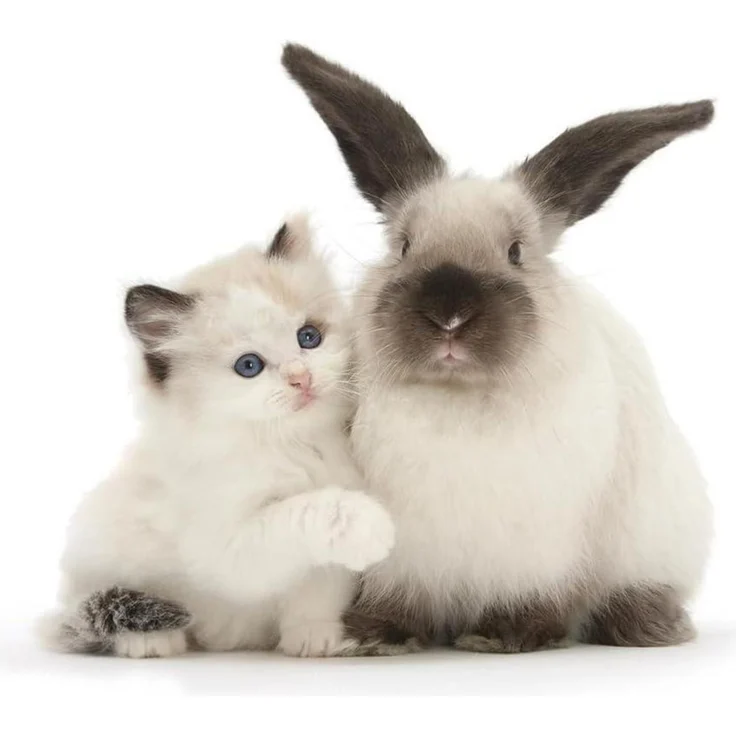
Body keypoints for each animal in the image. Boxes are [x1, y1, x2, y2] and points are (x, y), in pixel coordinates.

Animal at [280, 43, 715, 654]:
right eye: (404, 246)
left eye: (516, 252)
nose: (449, 314)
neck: (458, 399)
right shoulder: (402, 555)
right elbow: (398, 597)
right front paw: (378, 634)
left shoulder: (538, 547)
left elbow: (533, 596)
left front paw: (504, 634)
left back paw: (650, 625)